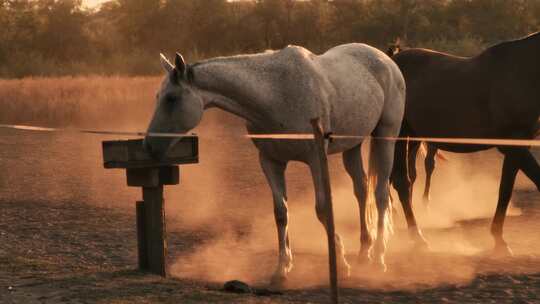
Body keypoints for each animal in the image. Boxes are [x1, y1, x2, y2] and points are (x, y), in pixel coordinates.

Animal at [143, 44, 404, 284]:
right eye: (157, 97)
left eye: (171, 98)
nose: (150, 146)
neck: (275, 94)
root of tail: (385, 59)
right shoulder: (271, 161)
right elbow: (280, 212)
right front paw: (282, 269)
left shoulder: (315, 159)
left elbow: (322, 209)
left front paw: (339, 260)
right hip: (352, 147)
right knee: (362, 191)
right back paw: (364, 252)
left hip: (386, 137)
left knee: (381, 194)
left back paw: (378, 259)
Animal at [388, 32, 540, 255]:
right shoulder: (513, 144)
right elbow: (512, 187)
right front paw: (499, 241)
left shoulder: (520, 146)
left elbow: (508, 187)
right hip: (400, 135)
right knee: (400, 181)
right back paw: (417, 238)